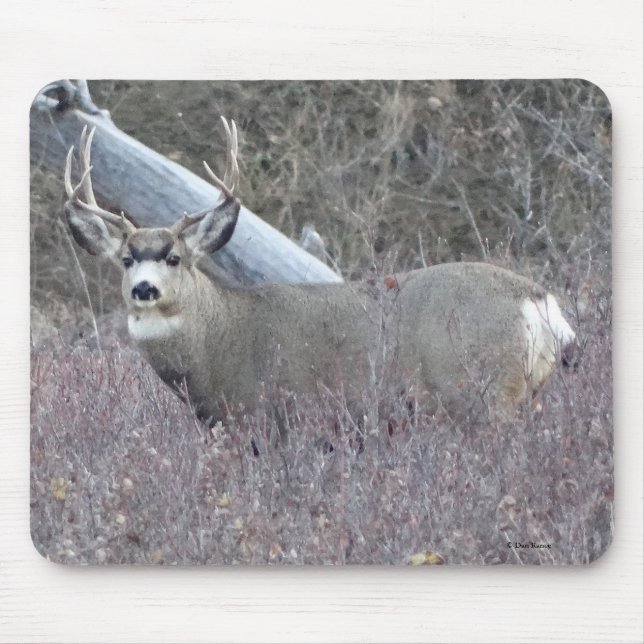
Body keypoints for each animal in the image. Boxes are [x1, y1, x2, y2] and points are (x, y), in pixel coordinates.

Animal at [63, 117, 576, 426]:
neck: (220, 343)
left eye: (174, 257)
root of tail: (538, 300)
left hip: (481, 392)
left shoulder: (274, 417)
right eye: (125, 259)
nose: (145, 289)